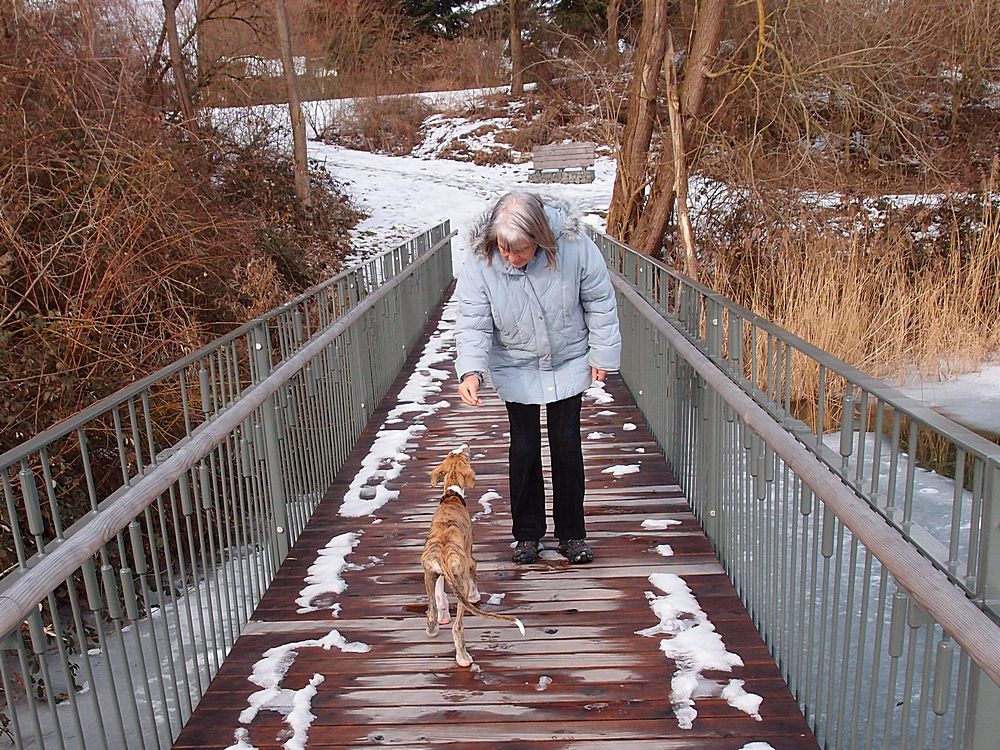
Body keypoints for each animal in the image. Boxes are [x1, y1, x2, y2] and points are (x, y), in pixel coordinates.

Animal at [421, 444, 524, 667]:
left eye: (454, 454)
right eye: (464, 456)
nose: (465, 446)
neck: (451, 496)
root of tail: (444, 553)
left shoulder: (437, 574)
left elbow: (440, 595)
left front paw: (443, 614)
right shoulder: (470, 560)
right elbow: (474, 576)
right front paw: (476, 596)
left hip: (428, 574)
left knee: (431, 610)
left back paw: (432, 628)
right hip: (461, 582)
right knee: (458, 626)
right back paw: (463, 657)